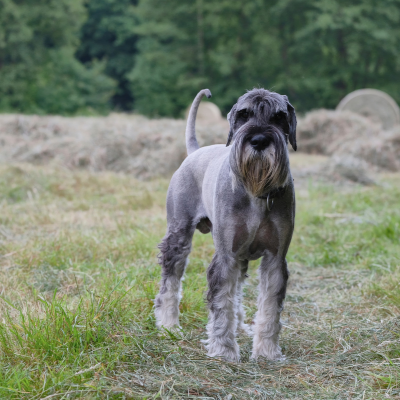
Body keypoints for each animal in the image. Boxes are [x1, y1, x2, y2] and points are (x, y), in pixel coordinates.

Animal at [155, 87, 296, 362]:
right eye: (244, 114)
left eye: (278, 117)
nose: (259, 140)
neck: (256, 193)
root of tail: (195, 151)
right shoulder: (226, 256)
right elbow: (222, 304)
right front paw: (223, 350)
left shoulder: (275, 259)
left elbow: (270, 308)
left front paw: (267, 351)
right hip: (178, 236)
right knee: (170, 280)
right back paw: (169, 325)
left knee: (238, 291)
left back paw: (240, 327)